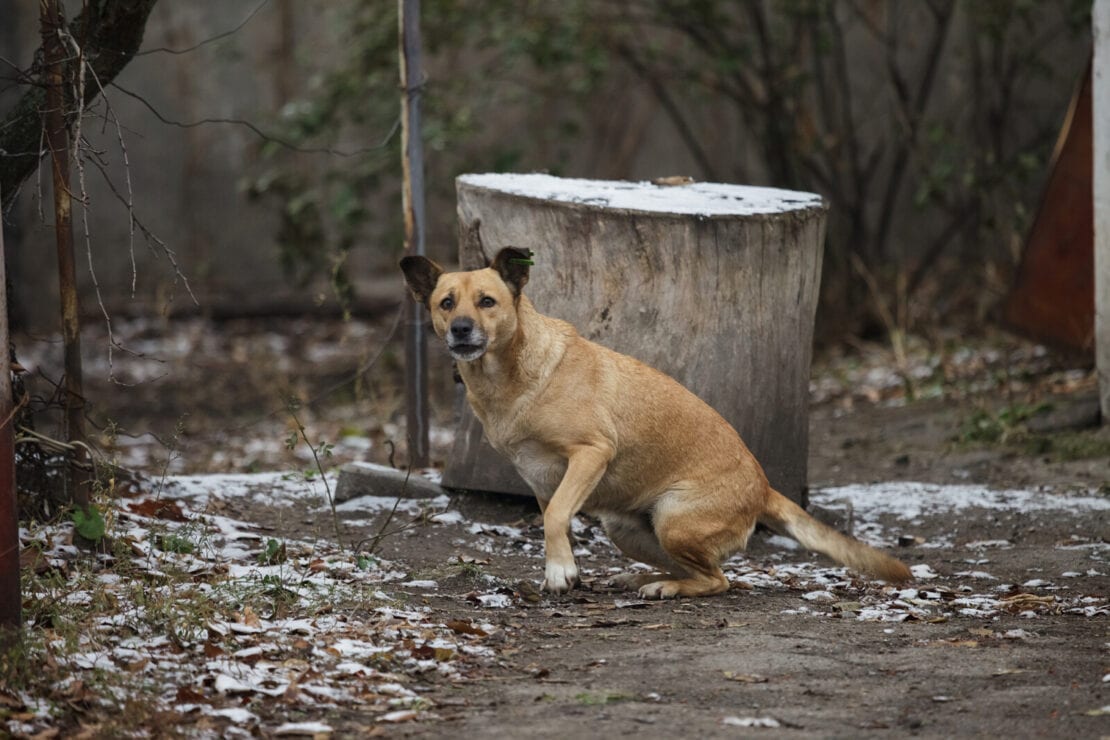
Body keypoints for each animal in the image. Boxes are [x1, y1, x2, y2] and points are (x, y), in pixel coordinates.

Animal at [401, 246, 910, 599]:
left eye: (487, 301)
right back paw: (642, 577)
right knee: (700, 571)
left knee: (719, 580)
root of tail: (763, 488)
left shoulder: (591, 454)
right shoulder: (544, 483)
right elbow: (554, 520)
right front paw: (562, 567)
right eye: (446, 303)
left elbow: (556, 519)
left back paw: (664, 587)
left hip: (674, 521)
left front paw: (560, 572)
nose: (461, 329)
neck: (510, 379)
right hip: (629, 530)